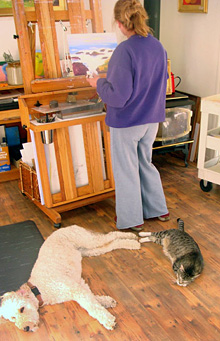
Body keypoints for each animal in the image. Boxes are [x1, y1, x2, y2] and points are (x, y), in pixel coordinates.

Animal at [0, 224, 140, 330]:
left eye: (22, 309)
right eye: (13, 317)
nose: (26, 328)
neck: (39, 289)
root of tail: (66, 227)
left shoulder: (74, 289)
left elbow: (91, 307)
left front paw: (107, 320)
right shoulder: (79, 285)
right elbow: (92, 299)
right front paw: (106, 301)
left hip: (88, 241)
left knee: (111, 235)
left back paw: (132, 237)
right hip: (88, 250)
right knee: (112, 244)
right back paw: (131, 243)